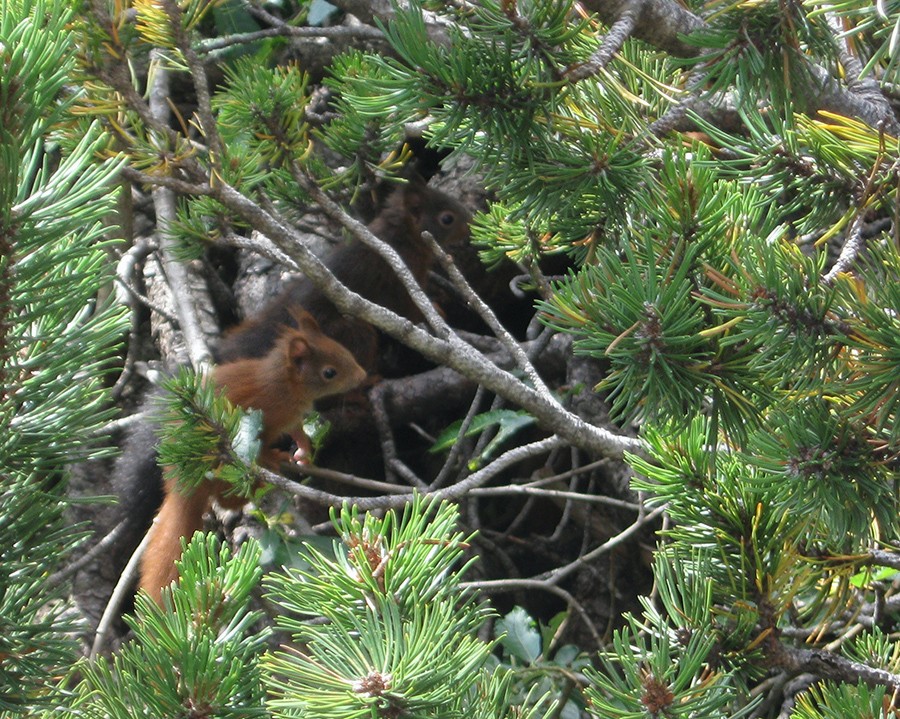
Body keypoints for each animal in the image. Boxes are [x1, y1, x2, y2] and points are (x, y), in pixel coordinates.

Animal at [141, 310, 366, 608]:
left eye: (344, 351)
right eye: (329, 372)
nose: (363, 376)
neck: (282, 383)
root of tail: (181, 487)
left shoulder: (292, 418)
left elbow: (299, 433)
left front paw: (304, 455)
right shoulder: (265, 416)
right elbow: (262, 446)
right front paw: (272, 457)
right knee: (225, 498)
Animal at [216, 179, 472, 372]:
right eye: (447, 218)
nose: (471, 222)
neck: (401, 236)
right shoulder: (400, 277)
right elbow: (407, 307)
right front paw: (434, 315)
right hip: (350, 332)